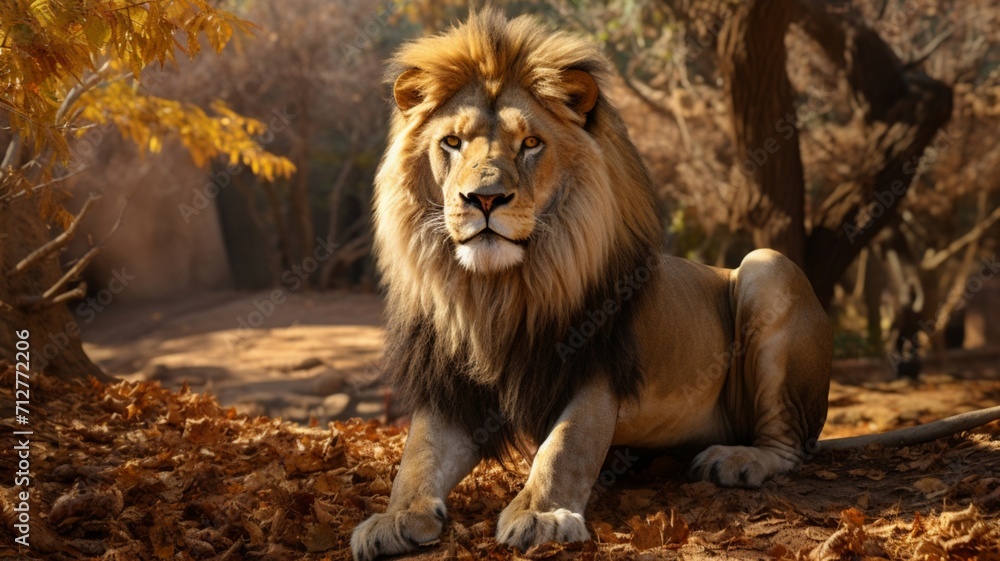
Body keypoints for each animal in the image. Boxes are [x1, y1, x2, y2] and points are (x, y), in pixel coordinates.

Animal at [350, 8, 1000, 561]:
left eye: (530, 143)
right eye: (451, 142)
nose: (483, 199)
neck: (498, 291)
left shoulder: (594, 367)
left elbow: (562, 449)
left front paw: (541, 514)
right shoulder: (449, 384)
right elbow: (417, 459)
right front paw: (392, 519)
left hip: (769, 268)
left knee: (790, 445)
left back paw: (735, 460)